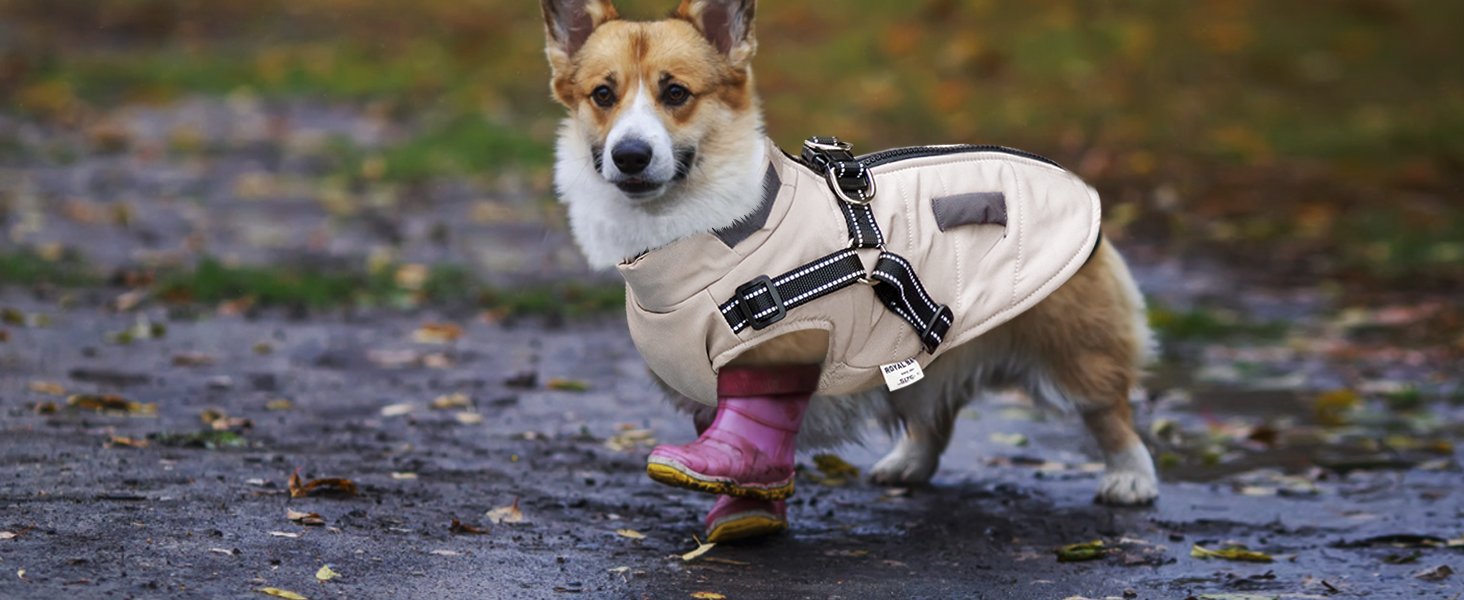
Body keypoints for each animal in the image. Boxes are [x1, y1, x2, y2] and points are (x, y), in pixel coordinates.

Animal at [538, 0, 1153, 541]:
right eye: (603, 94)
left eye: (675, 93)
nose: (631, 156)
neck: (699, 241)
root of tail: (1070, 176)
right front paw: (742, 512)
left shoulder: (780, 352)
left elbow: (758, 420)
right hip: (920, 345)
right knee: (933, 408)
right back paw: (908, 463)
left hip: (1074, 344)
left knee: (1109, 410)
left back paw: (1131, 478)